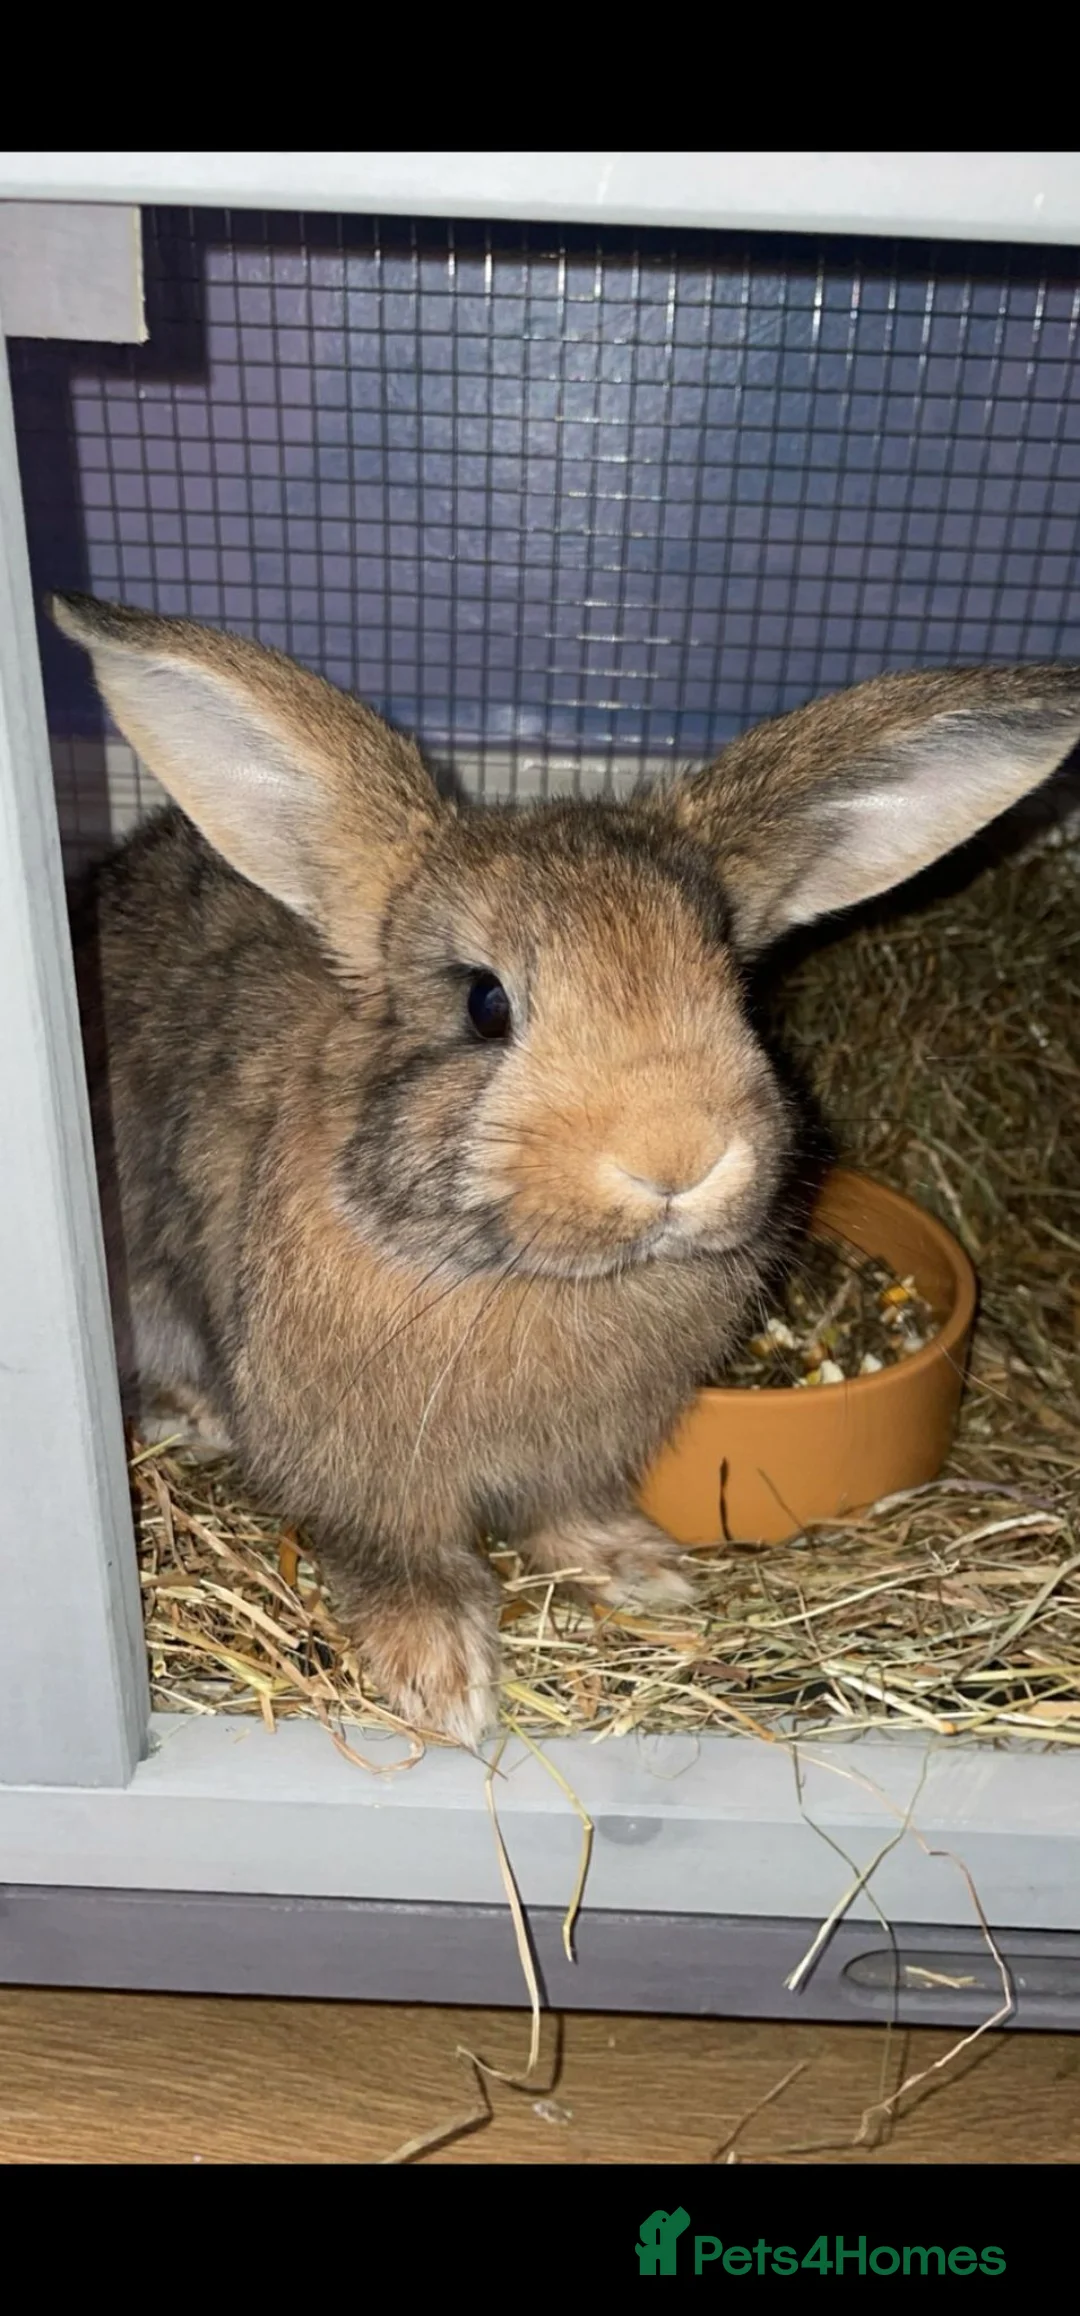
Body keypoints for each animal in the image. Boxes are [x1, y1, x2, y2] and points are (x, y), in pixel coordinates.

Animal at [51, 592, 1080, 1743]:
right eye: (484, 1003)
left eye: (737, 988)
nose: (675, 1156)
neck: (527, 1280)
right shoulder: (364, 1471)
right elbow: (398, 1555)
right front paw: (445, 1683)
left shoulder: (576, 1455)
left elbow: (564, 1514)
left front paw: (640, 1570)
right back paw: (194, 1417)